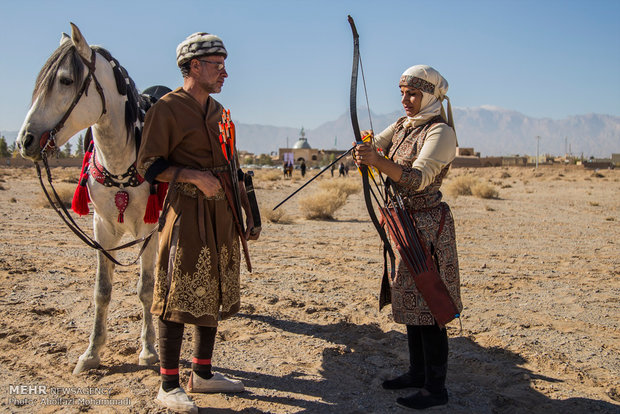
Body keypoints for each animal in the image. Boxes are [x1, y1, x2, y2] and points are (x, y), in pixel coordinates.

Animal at [17, 23, 159, 376]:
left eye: (66, 80)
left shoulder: (148, 229)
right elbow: (102, 291)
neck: (122, 163)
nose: (25, 140)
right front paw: (92, 352)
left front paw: (149, 350)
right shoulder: (102, 228)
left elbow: (145, 288)